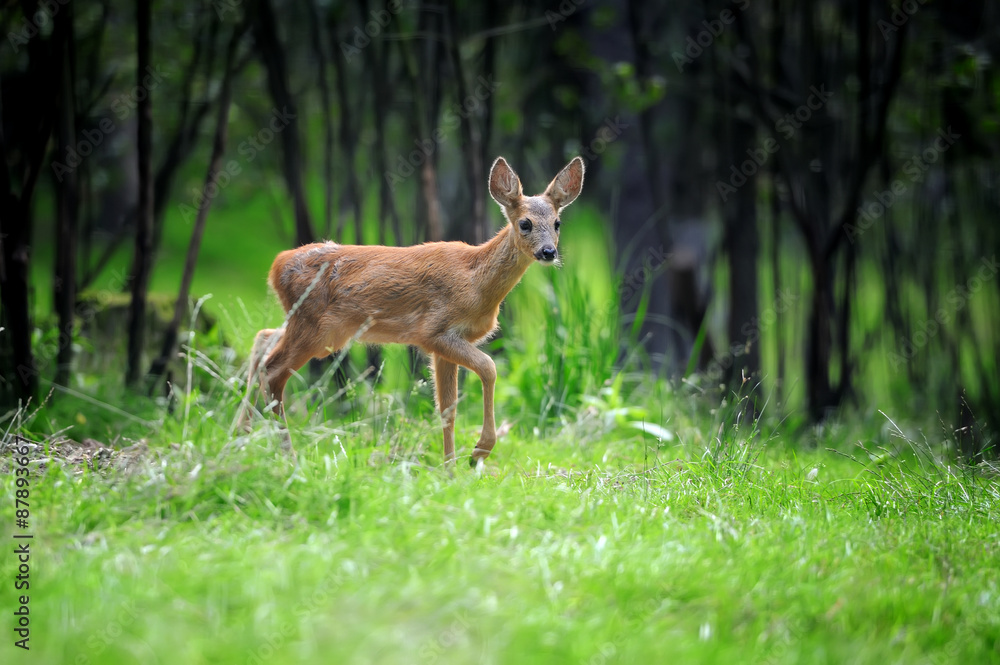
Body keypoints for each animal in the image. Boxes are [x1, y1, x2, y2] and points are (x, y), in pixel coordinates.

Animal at [240, 156, 584, 466]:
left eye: (557, 223)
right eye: (525, 223)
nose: (548, 252)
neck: (475, 281)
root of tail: (276, 266)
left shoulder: (449, 342)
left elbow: (447, 409)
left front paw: (449, 471)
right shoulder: (433, 331)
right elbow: (488, 368)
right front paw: (477, 453)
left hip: (314, 327)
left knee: (262, 339)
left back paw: (241, 437)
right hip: (316, 328)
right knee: (272, 370)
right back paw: (287, 458)